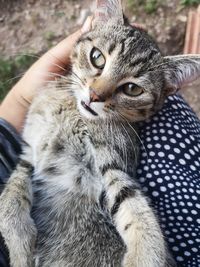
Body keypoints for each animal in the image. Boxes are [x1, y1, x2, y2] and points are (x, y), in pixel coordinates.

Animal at [0, 0, 200, 266]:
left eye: (132, 89)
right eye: (97, 58)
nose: (95, 95)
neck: (76, 114)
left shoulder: (112, 165)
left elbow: (136, 210)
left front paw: (144, 256)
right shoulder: (29, 151)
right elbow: (10, 197)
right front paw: (19, 249)